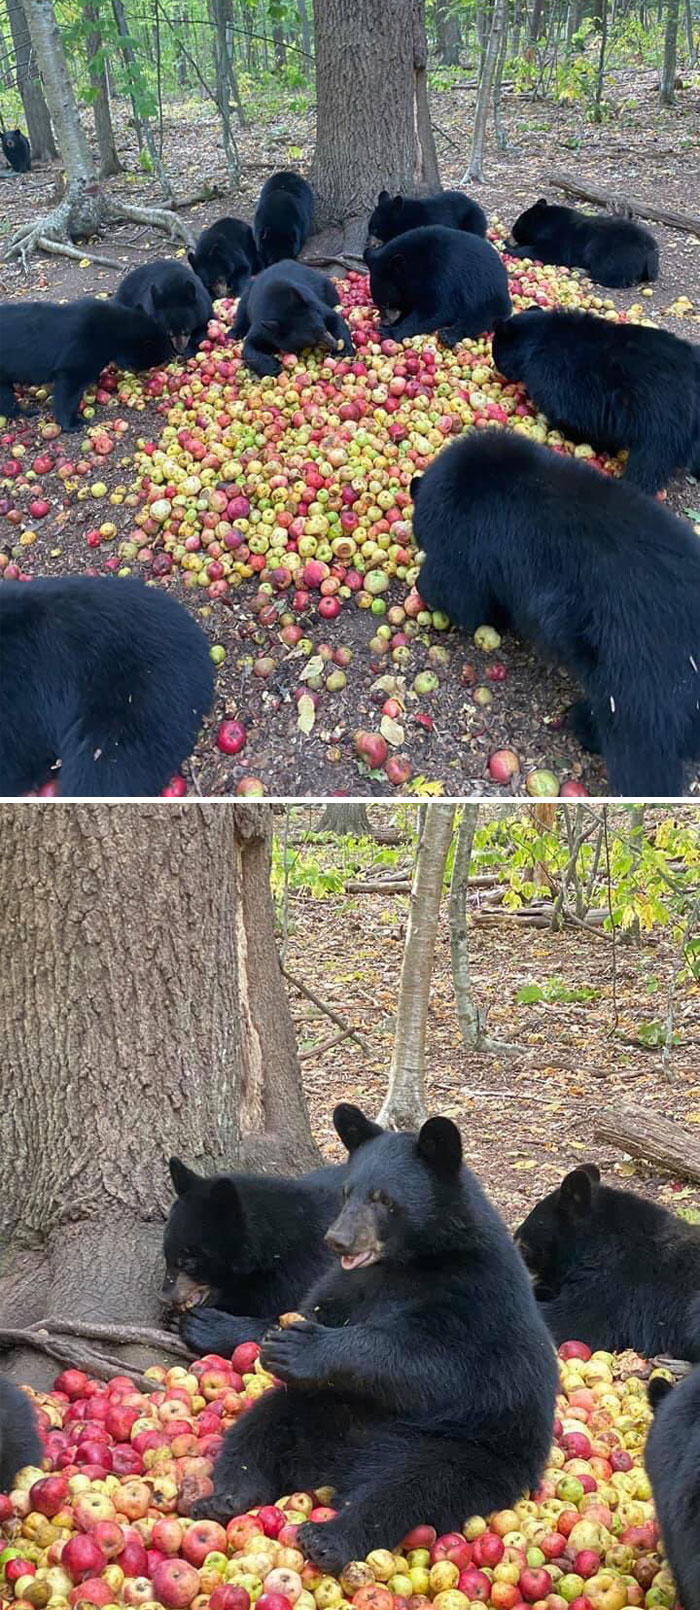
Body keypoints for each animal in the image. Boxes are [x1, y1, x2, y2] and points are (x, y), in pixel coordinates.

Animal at [191, 1103, 558, 1573]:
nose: (338, 1239)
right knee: (260, 1426)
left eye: (383, 1199)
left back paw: (331, 1537)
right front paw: (274, 1339)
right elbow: (318, 1304)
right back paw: (227, 1496)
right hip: (318, 1410)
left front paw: (303, 1348)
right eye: (348, 1191)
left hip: (466, 1448)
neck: (407, 1263)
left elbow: (434, 1362)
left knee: (409, 1486)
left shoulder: (475, 1294)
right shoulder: (350, 1282)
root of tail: (334, 1466)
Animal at [364, 226, 511, 345]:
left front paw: (389, 332)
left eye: (386, 304)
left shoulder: (443, 274)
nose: (385, 322)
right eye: (379, 304)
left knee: (482, 316)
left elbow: (438, 310)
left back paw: (449, 335)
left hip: (488, 294)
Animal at [409, 428, 700, 797]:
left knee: (638, 752)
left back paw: (586, 728)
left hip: (641, 679)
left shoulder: (470, 542)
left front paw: (429, 590)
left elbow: (459, 592)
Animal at [492, 309, 700, 494]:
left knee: (650, 462)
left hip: (661, 416)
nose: (496, 368)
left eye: (496, 354)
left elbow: (572, 420)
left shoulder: (560, 380)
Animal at [507, 198, 659, 287]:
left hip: (608, 249)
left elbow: (544, 252)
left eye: (519, 222)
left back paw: (583, 271)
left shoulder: (558, 242)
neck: (546, 224)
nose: (513, 231)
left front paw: (509, 247)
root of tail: (650, 252)